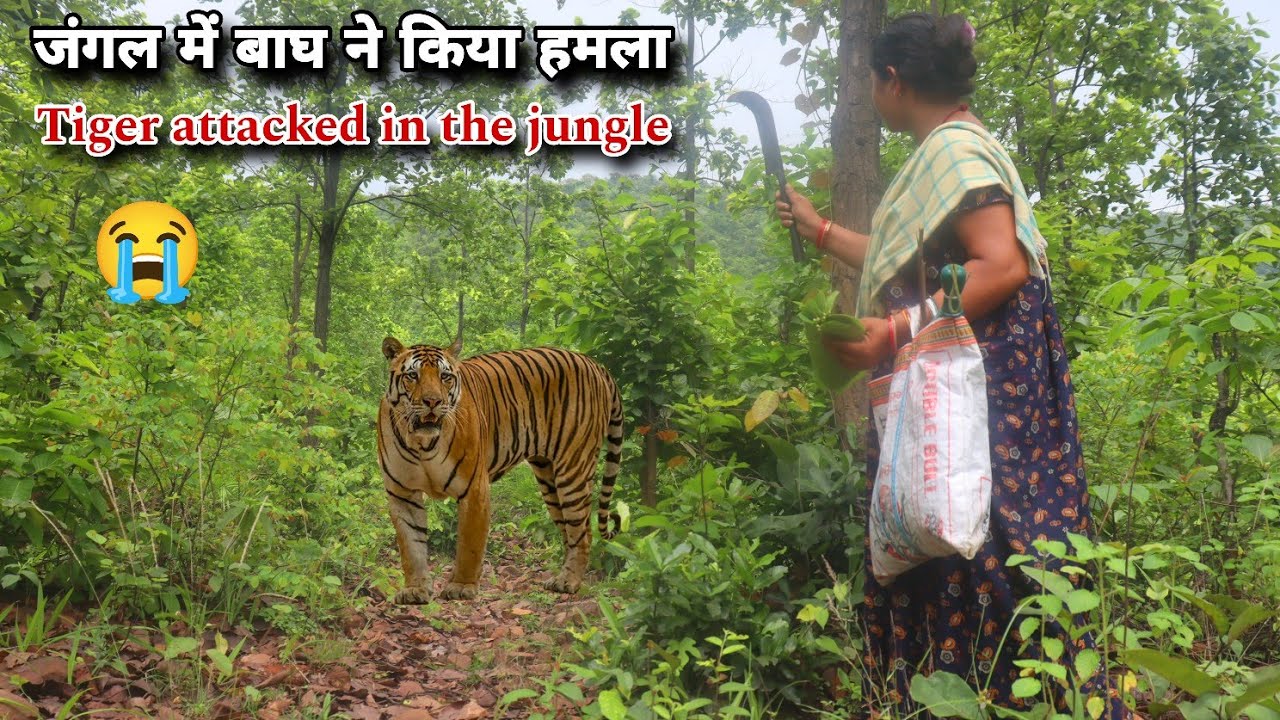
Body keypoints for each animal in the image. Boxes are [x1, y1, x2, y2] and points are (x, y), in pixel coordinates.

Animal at [377, 335, 623, 602]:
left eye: (445, 376)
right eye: (413, 375)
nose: (433, 402)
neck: (421, 443)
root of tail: (594, 364)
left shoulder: (474, 489)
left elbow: (470, 545)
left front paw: (461, 587)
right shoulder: (402, 494)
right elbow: (411, 548)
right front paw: (415, 589)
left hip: (573, 469)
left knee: (583, 532)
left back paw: (568, 582)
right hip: (549, 478)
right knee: (570, 531)